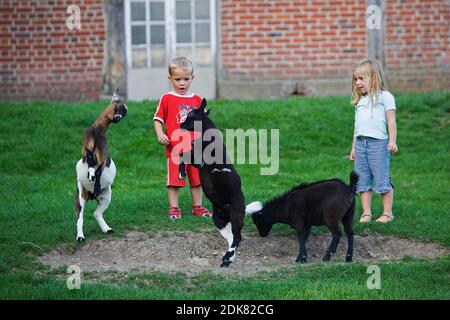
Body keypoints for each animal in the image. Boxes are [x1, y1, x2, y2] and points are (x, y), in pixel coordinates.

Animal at [74, 89, 126, 241]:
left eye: (124, 111)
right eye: (116, 105)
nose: (118, 118)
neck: (97, 131)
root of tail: (91, 196)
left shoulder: (102, 155)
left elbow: (98, 170)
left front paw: (94, 180)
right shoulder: (86, 149)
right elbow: (91, 162)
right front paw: (90, 174)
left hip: (107, 196)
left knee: (96, 213)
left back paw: (107, 229)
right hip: (80, 196)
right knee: (80, 217)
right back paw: (80, 237)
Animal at [178, 99, 246, 268]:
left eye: (191, 113)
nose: (181, 125)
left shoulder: (199, 160)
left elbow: (183, 154)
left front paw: (181, 173)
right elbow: (182, 154)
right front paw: (181, 173)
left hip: (236, 214)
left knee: (237, 237)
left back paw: (227, 259)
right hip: (219, 220)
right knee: (232, 238)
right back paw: (227, 258)